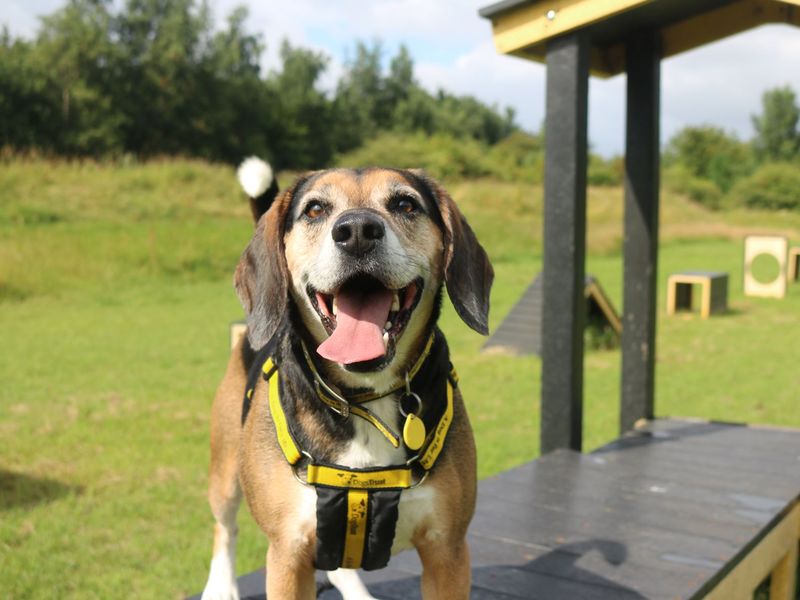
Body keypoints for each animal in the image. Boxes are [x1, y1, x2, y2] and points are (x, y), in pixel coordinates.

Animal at [200, 158, 490, 600]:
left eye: (405, 204)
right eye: (316, 210)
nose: (356, 232)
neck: (363, 398)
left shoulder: (448, 551)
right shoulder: (287, 554)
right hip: (227, 469)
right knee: (224, 528)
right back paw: (220, 585)